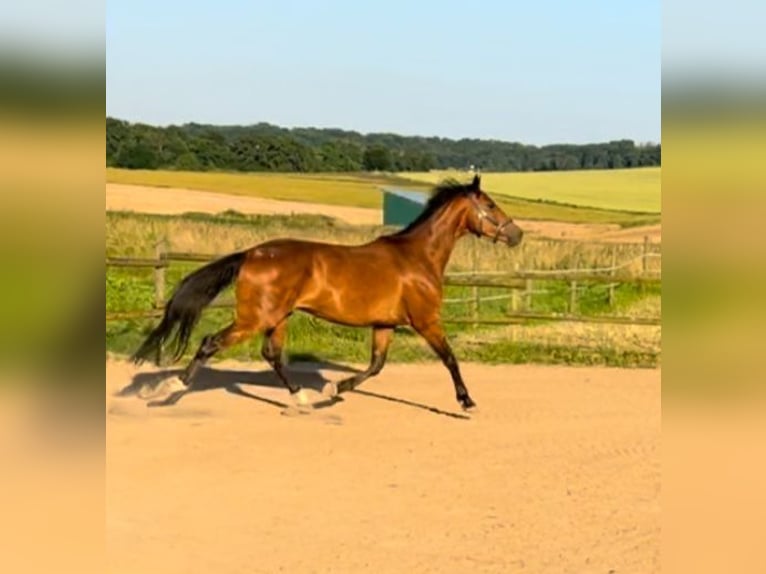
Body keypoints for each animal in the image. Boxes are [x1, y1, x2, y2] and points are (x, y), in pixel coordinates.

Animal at [135, 173, 524, 412]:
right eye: (490, 205)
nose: (516, 234)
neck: (418, 257)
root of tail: (251, 254)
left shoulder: (385, 324)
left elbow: (375, 366)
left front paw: (333, 390)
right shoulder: (426, 320)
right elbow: (450, 359)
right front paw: (466, 401)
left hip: (278, 317)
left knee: (271, 354)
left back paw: (303, 398)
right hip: (254, 318)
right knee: (210, 343)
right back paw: (170, 391)